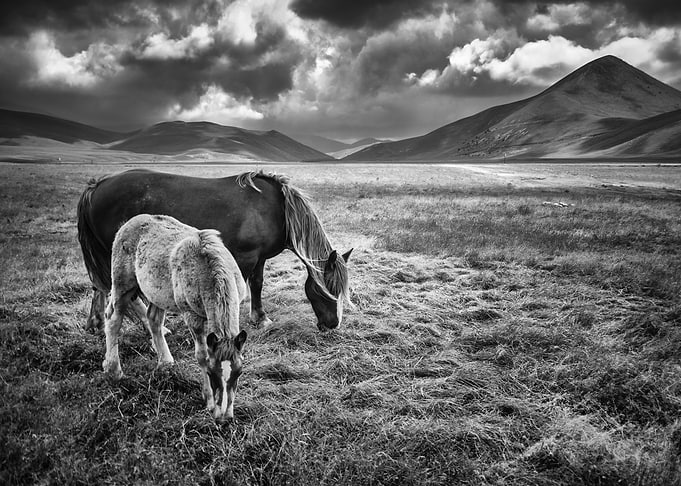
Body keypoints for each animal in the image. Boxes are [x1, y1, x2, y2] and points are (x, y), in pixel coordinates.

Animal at [78, 169, 352, 333]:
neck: (277, 210)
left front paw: (260, 318)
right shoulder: (246, 257)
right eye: (329, 290)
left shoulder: (260, 258)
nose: (333, 325)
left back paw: (95, 323)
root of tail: (97, 185)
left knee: (99, 286)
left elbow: (257, 284)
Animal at [102, 214, 248, 421]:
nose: (224, 418)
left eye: (239, 372)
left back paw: (166, 362)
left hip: (157, 294)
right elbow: (202, 355)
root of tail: (129, 223)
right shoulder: (191, 316)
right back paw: (114, 370)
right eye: (211, 372)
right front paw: (209, 401)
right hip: (123, 285)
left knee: (153, 320)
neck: (207, 267)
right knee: (113, 319)